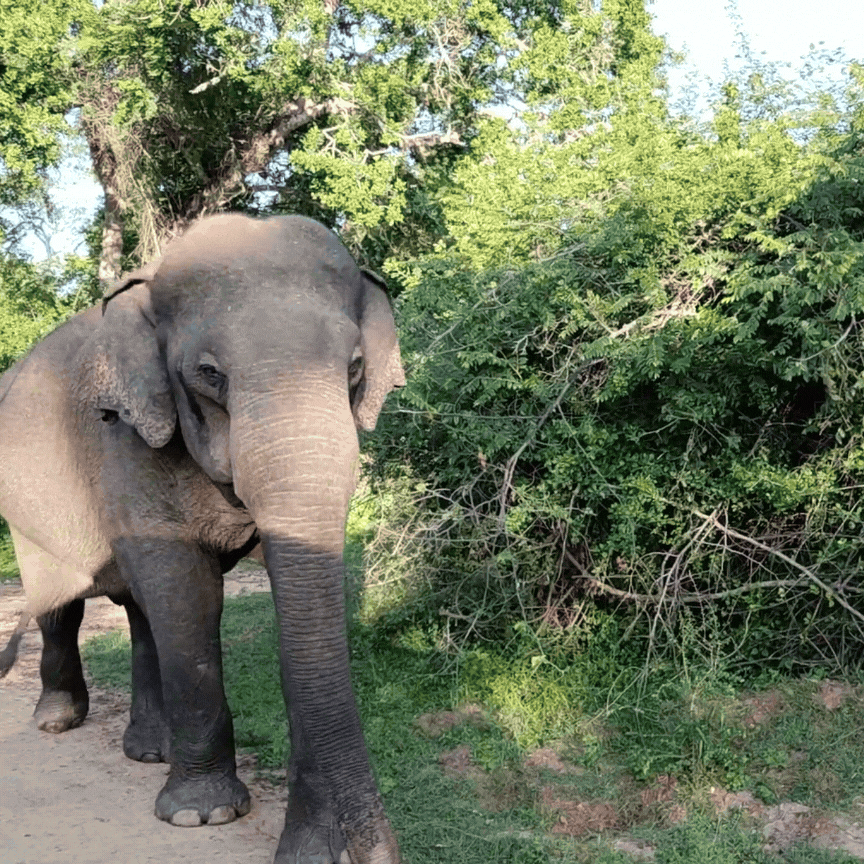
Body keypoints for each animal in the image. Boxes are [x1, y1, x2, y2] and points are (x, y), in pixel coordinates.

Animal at [0, 213, 405, 864]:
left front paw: (310, 849)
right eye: (210, 375)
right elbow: (187, 594)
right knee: (63, 597)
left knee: (139, 609)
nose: (377, 852)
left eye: (353, 368)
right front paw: (202, 814)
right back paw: (57, 722)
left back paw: (149, 752)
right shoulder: (127, 437)